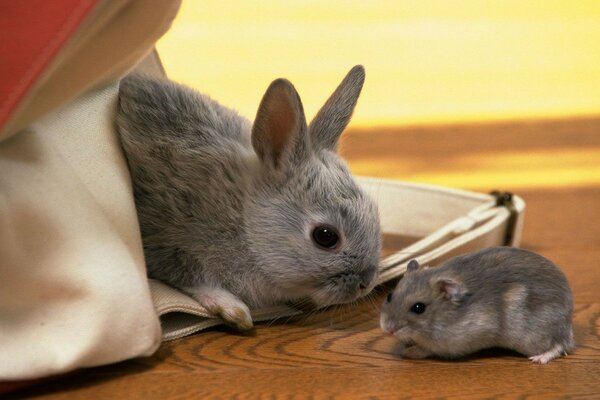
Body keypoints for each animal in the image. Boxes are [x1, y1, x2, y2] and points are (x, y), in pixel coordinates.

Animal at [115, 65, 382, 330]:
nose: (365, 283)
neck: (244, 222)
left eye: (375, 212)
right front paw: (234, 311)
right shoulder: (166, 238)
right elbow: (192, 279)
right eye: (326, 236)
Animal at [382, 245, 576, 364]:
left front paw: (409, 352)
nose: (388, 330)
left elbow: (429, 349)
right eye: (389, 296)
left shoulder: (455, 343)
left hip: (533, 337)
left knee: (559, 346)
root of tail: (567, 322)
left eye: (418, 308)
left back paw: (538, 359)